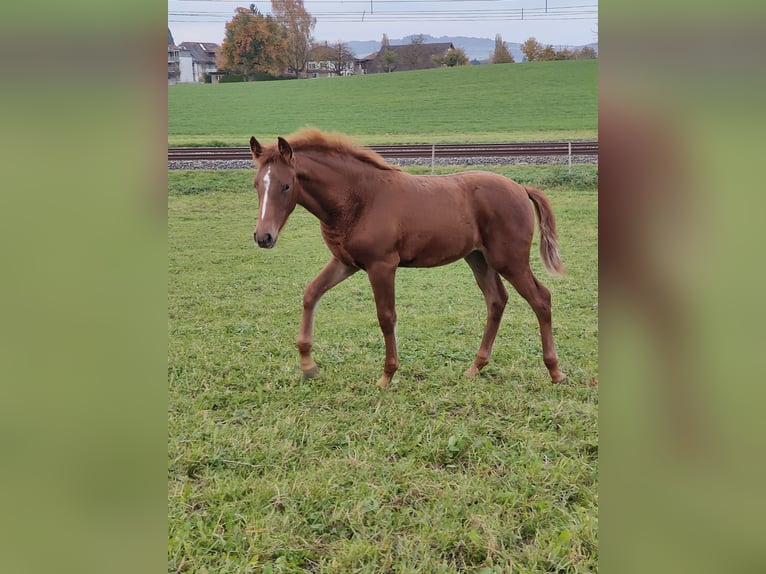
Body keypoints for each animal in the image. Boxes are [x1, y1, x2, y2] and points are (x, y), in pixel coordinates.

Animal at [249, 128, 566, 387]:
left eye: (286, 185)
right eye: (257, 185)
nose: (263, 237)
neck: (361, 199)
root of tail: (521, 188)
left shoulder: (382, 266)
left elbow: (386, 316)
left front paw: (387, 375)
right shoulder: (346, 263)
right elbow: (311, 293)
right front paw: (308, 365)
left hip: (509, 260)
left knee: (541, 299)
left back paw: (555, 371)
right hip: (479, 259)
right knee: (496, 300)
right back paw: (475, 367)